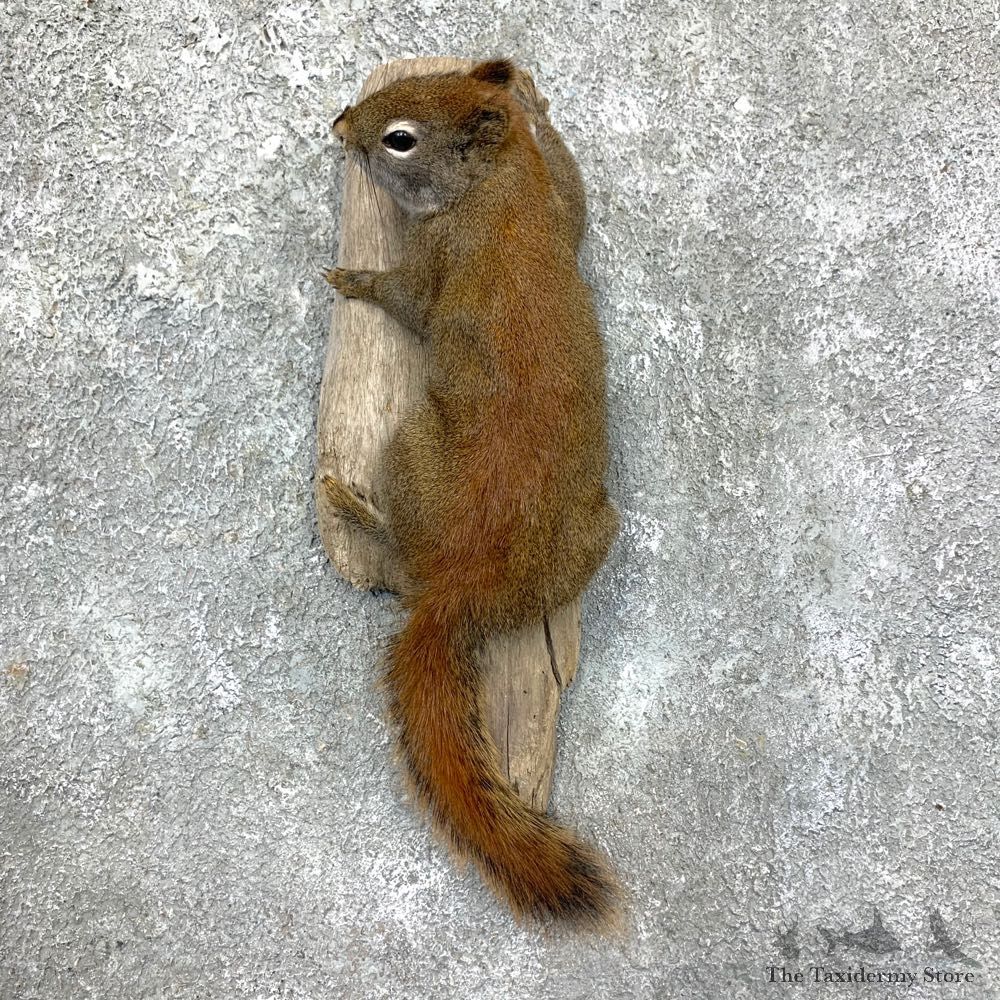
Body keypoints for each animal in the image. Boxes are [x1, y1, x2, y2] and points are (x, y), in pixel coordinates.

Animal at [323, 59, 621, 928]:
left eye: (399, 139)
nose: (338, 124)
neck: (503, 185)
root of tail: (463, 588)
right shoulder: (561, 201)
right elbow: (579, 192)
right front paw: (529, 94)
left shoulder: (440, 255)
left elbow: (410, 301)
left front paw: (355, 278)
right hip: (593, 536)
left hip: (409, 446)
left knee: (399, 563)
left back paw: (357, 510)